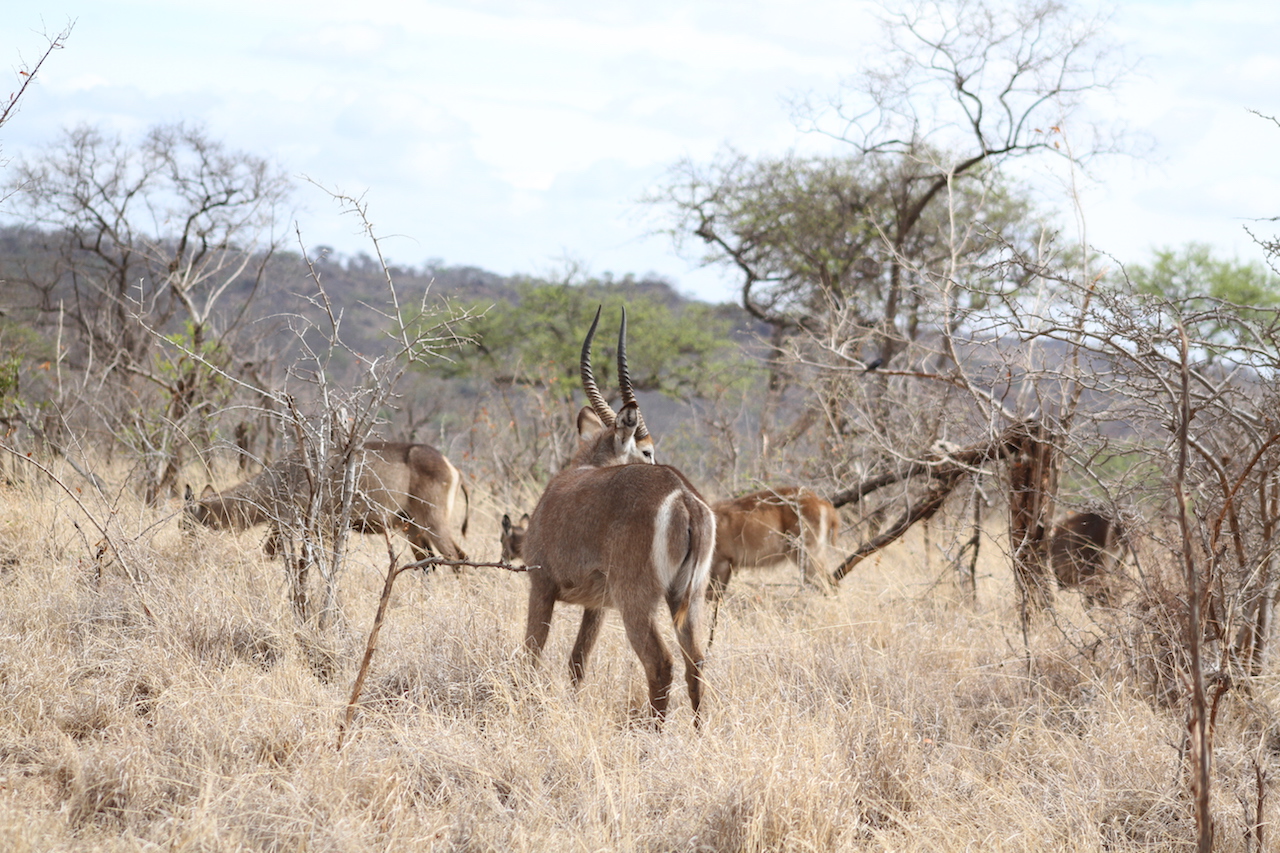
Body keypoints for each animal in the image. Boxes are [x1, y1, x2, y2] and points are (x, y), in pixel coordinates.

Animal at [185, 440, 471, 560]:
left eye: (186, 524)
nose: (186, 548)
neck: (284, 475)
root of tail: (452, 466)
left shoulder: (313, 525)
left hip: (431, 521)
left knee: (457, 556)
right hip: (411, 528)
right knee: (427, 563)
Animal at [522, 306, 721, 722]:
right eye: (647, 450)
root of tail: (683, 496)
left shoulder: (541, 583)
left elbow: (532, 654)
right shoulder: (597, 604)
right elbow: (578, 661)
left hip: (638, 599)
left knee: (660, 663)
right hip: (689, 596)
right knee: (695, 661)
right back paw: (699, 731)